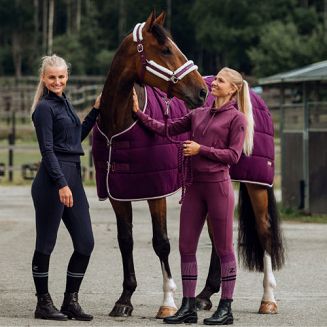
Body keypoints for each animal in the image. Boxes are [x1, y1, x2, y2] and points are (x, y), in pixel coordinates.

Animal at [95, 11, 208, 320]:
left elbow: (162, 242)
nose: (202, 91)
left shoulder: (156, 193)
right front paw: (124, 299)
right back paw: (205, 296)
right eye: (166, 49)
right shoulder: (118, 195)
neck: (119, 124)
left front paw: (168, 301)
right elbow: (125, 240)